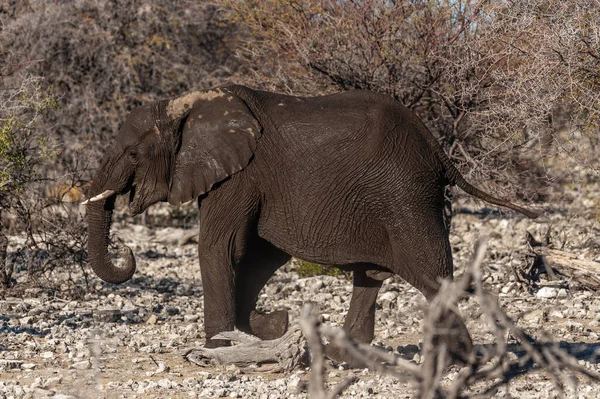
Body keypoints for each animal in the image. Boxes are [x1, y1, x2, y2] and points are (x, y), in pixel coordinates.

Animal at [83, 85, 536, 366]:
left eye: (134, 154)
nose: (125, 249)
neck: (186, 105)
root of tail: (441, 153)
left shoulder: (240, 175)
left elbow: (219, 246)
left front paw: (215, 349)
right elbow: (256, 256)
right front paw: (270, 326)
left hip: (406, 194)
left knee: (429, 274)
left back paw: (458, 360)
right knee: (371, 276)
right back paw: (343, 357)